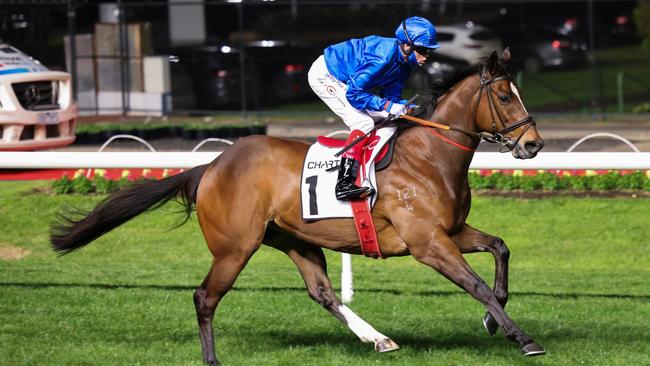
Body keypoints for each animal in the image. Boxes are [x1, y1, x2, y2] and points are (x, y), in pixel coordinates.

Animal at [53, 50, 544, 364]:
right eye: (505, 97)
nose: (533, 144)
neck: (428, 157)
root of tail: (212, 166)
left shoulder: (451, 231)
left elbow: (500, 249)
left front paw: (492, 320)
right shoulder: (427, 243)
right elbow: (476, 284)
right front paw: (522, 337)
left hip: (295, 238)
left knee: (322, 292)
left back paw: (379, 339)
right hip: (235, 247)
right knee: (205, 297)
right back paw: (212, 359)